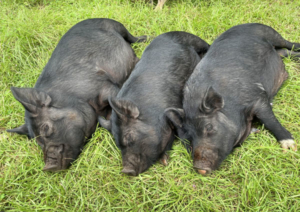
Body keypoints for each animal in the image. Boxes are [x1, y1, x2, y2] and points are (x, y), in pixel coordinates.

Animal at [7, 17, 148, 171]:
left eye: (46, 127)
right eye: (37, 141)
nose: (47, 167)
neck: (73, 96)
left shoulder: (107, 87)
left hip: (116, 25)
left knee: (131, 37)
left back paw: (145, 38)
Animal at [98, 31, 209, 176]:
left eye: (129, 137)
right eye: (117, 144)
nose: (126, 171)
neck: (151, 112)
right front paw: (164, 161)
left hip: (194, 39)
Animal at [166, 23, 300, 176]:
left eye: (209, 127)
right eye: (189, 139)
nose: (200, 168)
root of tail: (245, 24)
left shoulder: (256, 97)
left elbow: (270, 120)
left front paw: (290, 148)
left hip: (270, 33)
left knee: (288, 44)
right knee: (284, 52)